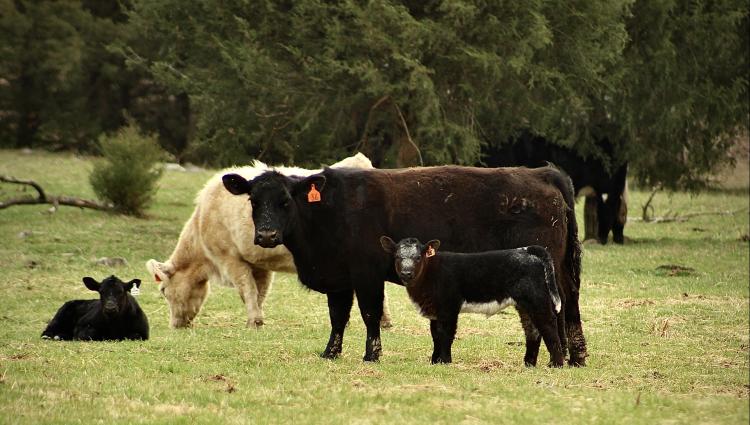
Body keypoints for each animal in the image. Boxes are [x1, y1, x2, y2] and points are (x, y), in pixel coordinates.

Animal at [146, 153, 393, 329]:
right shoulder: (259, 264)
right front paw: (258, 317)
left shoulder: (230, 258)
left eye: (163, 291)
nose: (175, 325)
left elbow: (246, 289)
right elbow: (258, 291)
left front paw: (253, 321)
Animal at [380, 237, 564, 366]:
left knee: (548, 325)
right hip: (524, 304)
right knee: (532, 329)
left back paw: (555, 364)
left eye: (418, 257)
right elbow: (435, 335)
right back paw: (528, 364)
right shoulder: (435, 310)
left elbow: (445, 334)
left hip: (537, 299)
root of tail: (527, 250)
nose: (406, 273)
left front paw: (445, 361)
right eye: (397, 257)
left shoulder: (449, 307)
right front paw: (434, 361)